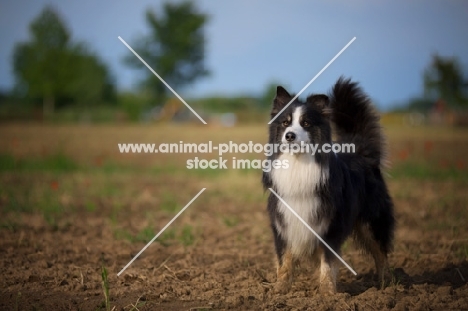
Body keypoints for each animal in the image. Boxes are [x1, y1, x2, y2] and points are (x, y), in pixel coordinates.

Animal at [264, 77, 394, 294]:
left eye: (306, 123)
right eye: (285, 123)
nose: (289, 135)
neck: (298, 163)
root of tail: (361, 152)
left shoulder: (330, 225)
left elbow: (327, 261)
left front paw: (327, 293)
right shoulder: (284, 222)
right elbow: (285, 259)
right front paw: (280, 288)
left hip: (372, 221)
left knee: (380, 253)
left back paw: (386, 285)